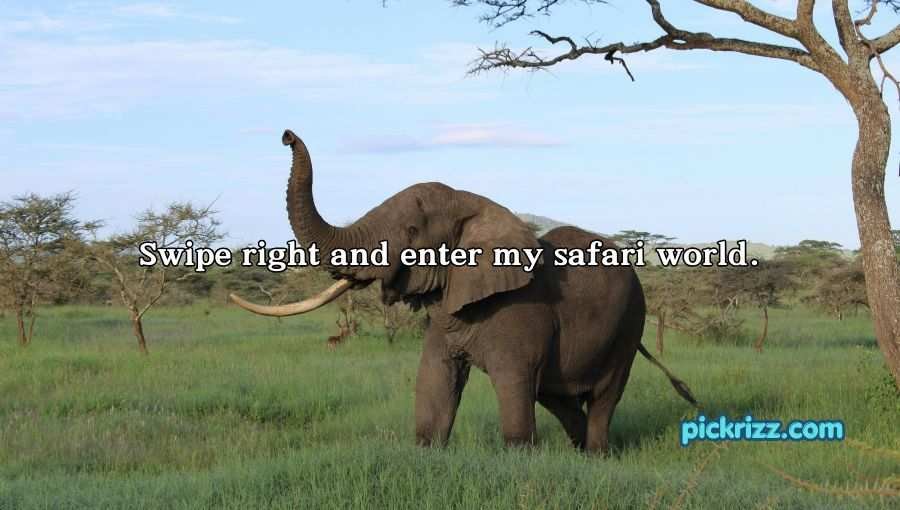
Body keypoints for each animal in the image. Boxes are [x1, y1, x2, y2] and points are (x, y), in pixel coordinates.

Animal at [231, 129, 698, 453]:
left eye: (411, 231)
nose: (286, 135)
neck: (472, 203)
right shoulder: (446, 312)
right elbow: (435, 383)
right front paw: (427, 451)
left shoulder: (521, 312)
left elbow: (513, 387)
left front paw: (519, 462)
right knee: (556, 395)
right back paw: (581, 453)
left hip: (630, 322)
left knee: (602, 396)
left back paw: (598, 454)